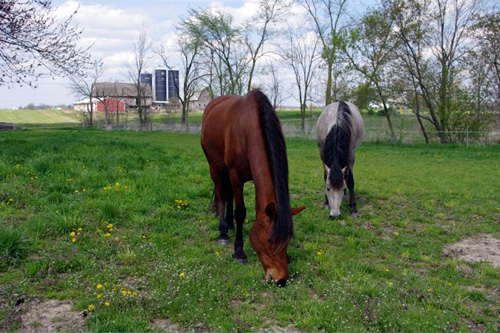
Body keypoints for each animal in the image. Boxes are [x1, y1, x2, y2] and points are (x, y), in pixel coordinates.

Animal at [200, 89, 304, 286]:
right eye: (270, 240)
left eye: (288, 239)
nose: (280, 279)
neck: (247, 130)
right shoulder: (236, 176)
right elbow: (240, 211)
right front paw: (239, 252)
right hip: (214, 166)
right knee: (221, 194)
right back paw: (223, 232)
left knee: (229, 195)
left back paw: (229, 225)